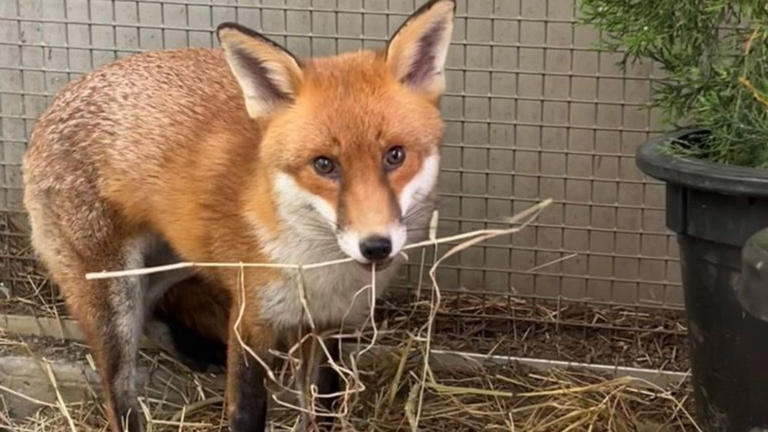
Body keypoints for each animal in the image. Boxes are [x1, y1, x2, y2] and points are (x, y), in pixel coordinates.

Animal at [21, 0, 455, 430]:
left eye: (394, 155)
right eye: (324, 165)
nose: (376, 246)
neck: (318, 270)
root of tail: (54, 103)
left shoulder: (327, 323)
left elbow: (323, 403)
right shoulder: (250, 321)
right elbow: (247, 410)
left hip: (177, 259)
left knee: (152, 307)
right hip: (112, 290)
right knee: (119, 391)